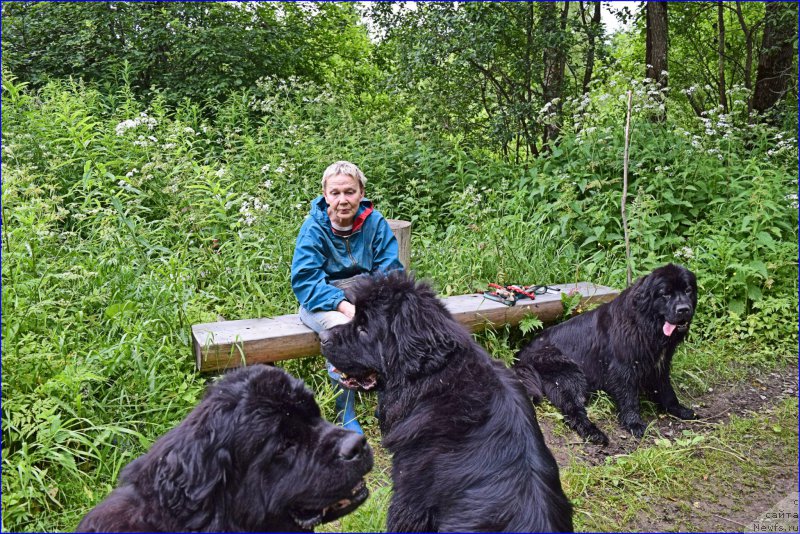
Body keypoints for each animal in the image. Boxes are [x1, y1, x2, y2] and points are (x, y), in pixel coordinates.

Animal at [516, 264, 696, 448]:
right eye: (665, 293)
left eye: (688, 290)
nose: (684, 309)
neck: (644, 324)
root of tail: (521, 355)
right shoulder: (623, 368)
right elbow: (629, 398)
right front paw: (634, 424)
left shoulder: (659, 365)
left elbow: (666, 390)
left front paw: (679, 410)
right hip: (569, 374)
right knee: (573, 410)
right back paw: (594, 433)